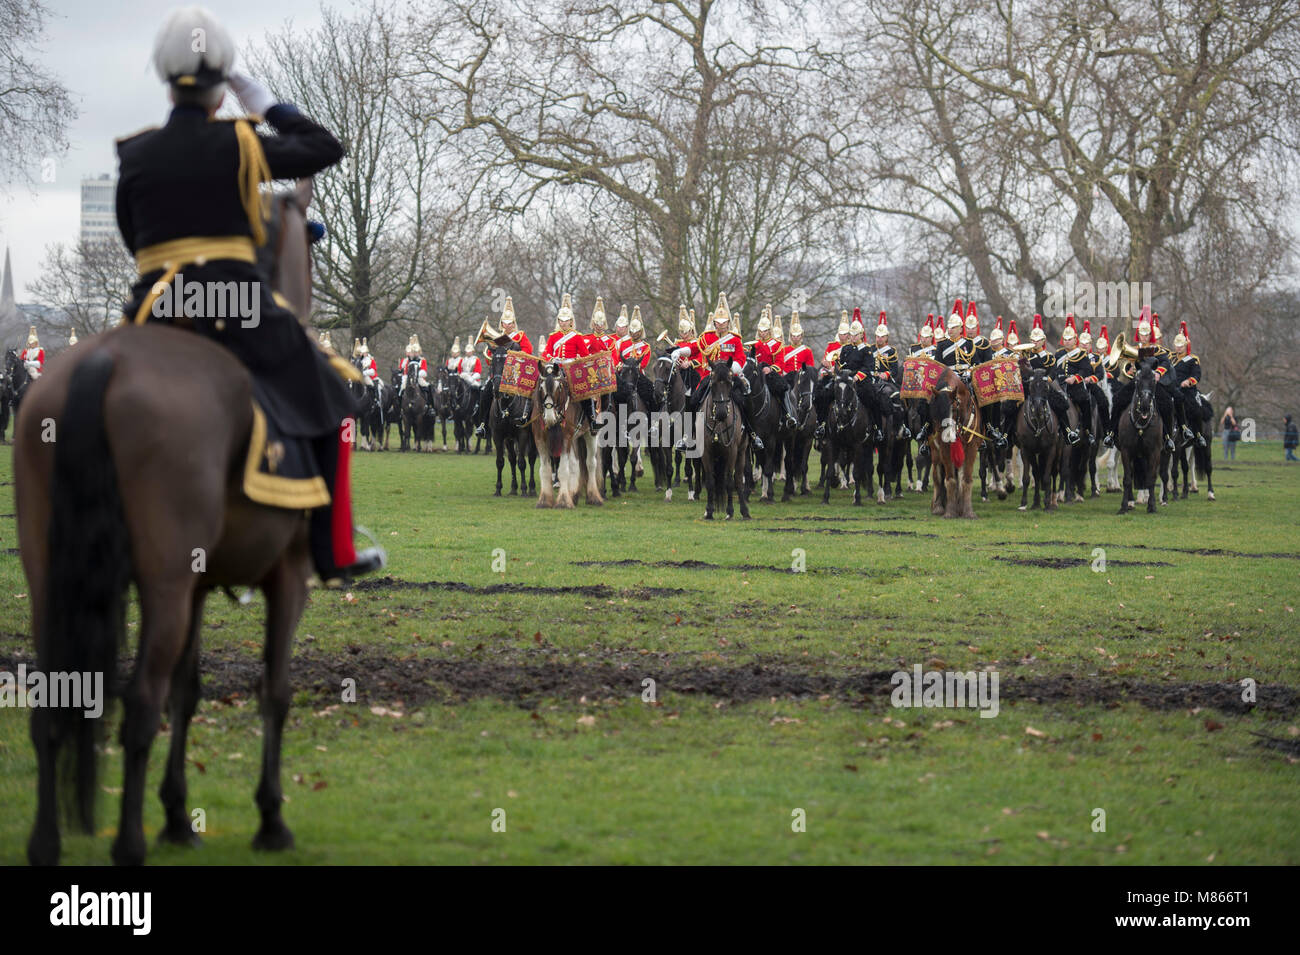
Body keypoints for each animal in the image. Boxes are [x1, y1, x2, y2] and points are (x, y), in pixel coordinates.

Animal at [17, 178, 327, 867]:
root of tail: (104, 362)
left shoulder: (200, 584)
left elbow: (190, 689)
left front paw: (179, 815)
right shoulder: (285, 575)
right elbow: (275, 690)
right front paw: (270, 818)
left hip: (50, 576)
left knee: (55, 699)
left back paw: (47, 841)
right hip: (161, 582)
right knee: (140, 701)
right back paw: (128, 843)